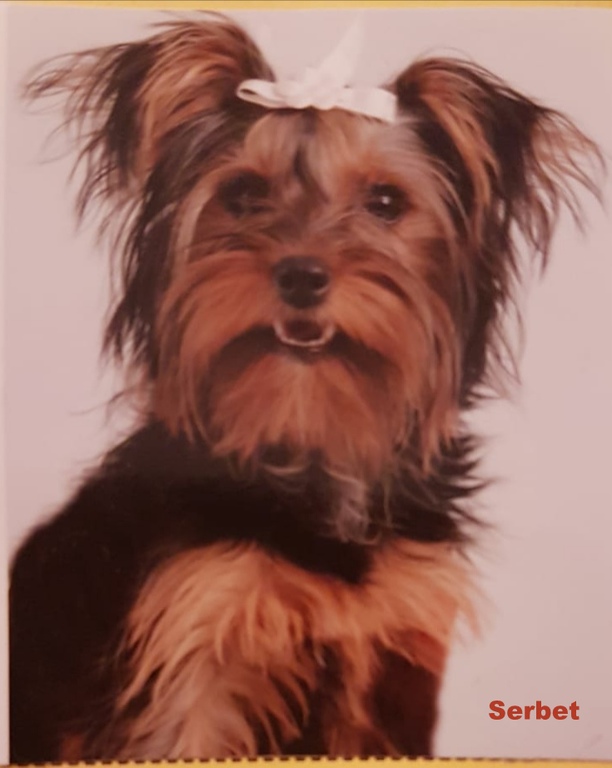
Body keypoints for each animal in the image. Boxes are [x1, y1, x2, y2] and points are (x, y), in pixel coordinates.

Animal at [9, 12, 602, 762]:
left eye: (386, 202)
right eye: (242, 194)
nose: (301, 274)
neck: (312, 433)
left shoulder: (390, 651)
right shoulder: (196, 646)